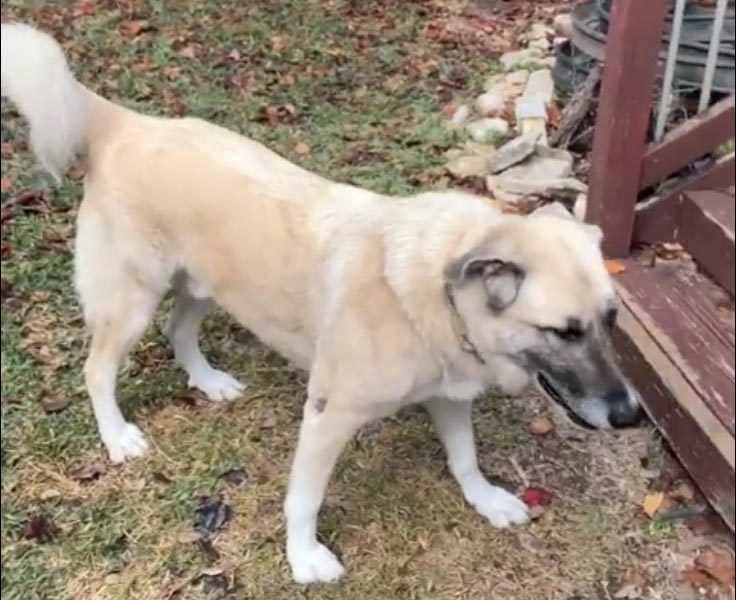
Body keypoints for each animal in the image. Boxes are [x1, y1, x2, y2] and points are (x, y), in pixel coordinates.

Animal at [1, 24, 640, 584]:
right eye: (564, 331)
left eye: (610, 320)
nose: (631, 416)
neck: (435, 293)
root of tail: (126, 122)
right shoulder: (330, 415)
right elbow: (304, 499)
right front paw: (304, 558)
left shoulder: (448, 397)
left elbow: (465, 458)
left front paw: (485, 499)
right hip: (133, 302)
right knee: (97, 369)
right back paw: (117, 437)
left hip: (209, 285)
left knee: (180, 331)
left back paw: (207, 381)